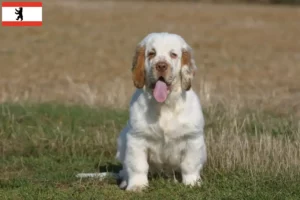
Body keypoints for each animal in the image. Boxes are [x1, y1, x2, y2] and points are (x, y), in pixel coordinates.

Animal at [76, 32, 207, 191]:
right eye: (151, 53)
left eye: (173, 54)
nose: (161, 65)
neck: (164, 106)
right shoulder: (137, 138)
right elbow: (138, 165)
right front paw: (137, 186)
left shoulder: (193, 138)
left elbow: (190, 165)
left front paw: (192, 183)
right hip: (122, 140)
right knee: (125, 170)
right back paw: (125, 181)